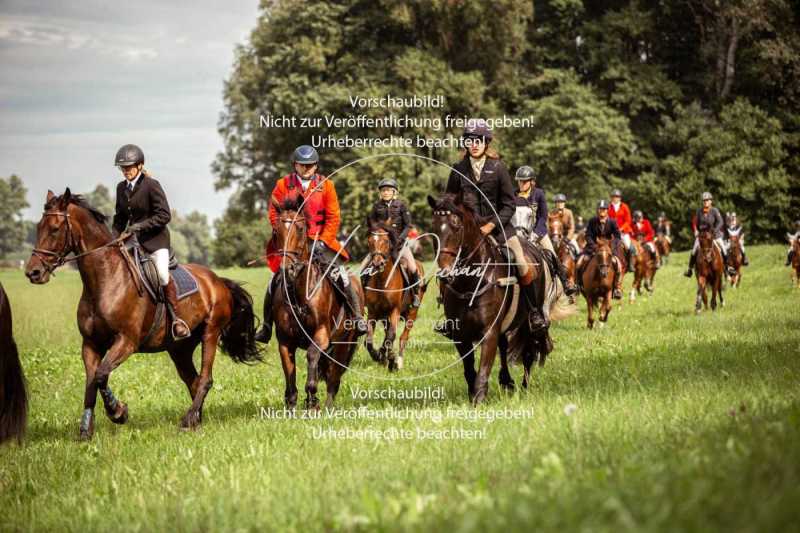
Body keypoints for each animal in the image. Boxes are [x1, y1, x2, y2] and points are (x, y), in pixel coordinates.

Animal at [25, 189, 260, 438]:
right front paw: (86, 431)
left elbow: (101, 375)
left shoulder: (126, 342)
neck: (105, 280)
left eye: (55, 228)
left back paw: (187, 420)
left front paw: (118, 412)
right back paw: (196, 420)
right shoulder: (90, 344)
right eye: (38, 227)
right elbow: (91, 382)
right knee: (194, 381)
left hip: (210, 333)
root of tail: (217, 281)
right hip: (180, 348)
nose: (33, 272)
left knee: (205, 379)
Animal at [272, 195, 366, 408]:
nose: (287, 269)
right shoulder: (285, 341)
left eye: (300, 228)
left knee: (334, 378)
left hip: (343, 342)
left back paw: (328, 406)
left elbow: (312, 355)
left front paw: (312, 398)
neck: (300, 291)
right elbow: (290, 379)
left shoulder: (322, 334)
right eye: (275, 230)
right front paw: (292, 406)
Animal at [362, 223, 424, 370]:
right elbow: (369, 341)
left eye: (386, 241)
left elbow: (391, 336)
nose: (377, 264)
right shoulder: (373, 312)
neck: (383, 281)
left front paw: (389, 358)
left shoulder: (394, 310)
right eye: (369, 242)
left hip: (412, 312)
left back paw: (399, 361)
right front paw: (379, 357)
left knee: (403, 337)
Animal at [432, 193, 568, 402]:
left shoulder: (489, 331)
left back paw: (524, 388)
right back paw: (507, 381)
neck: (471, 281)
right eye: (434, 228)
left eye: (457, 227)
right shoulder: (461, 335)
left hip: (530, 325)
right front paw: (473, 395)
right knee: (504, 347)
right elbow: (469, 370)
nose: (445, 274)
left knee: (528, 354)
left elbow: (484, 369)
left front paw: (479, 400)